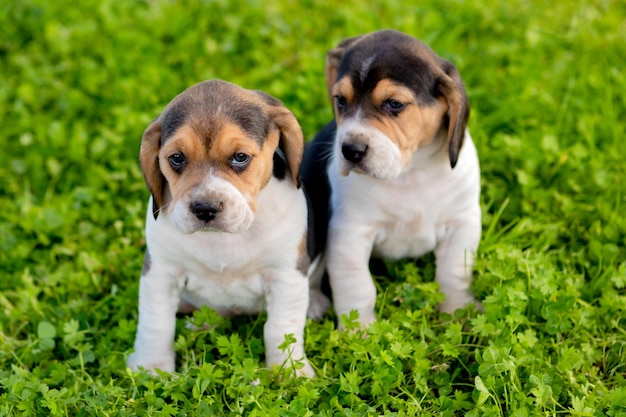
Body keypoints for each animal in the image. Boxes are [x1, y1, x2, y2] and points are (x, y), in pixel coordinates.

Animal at [127, 79, 326, 376]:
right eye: (176, 158)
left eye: (240, 157)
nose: (205, 208)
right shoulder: (161, 272)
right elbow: (156, 323)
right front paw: (151, 368)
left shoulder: (286, 275)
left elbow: (280, 329)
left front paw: (289, 372)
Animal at [300, 30, 480, 326]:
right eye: (340, 100)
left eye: (394, 104)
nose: (351, 150)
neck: (409, 173)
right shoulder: (350, 234)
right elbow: (357, 287)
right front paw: (358, 329)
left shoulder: (462, 223)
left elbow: (453, 273)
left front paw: (457, 312)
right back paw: (313, 303)